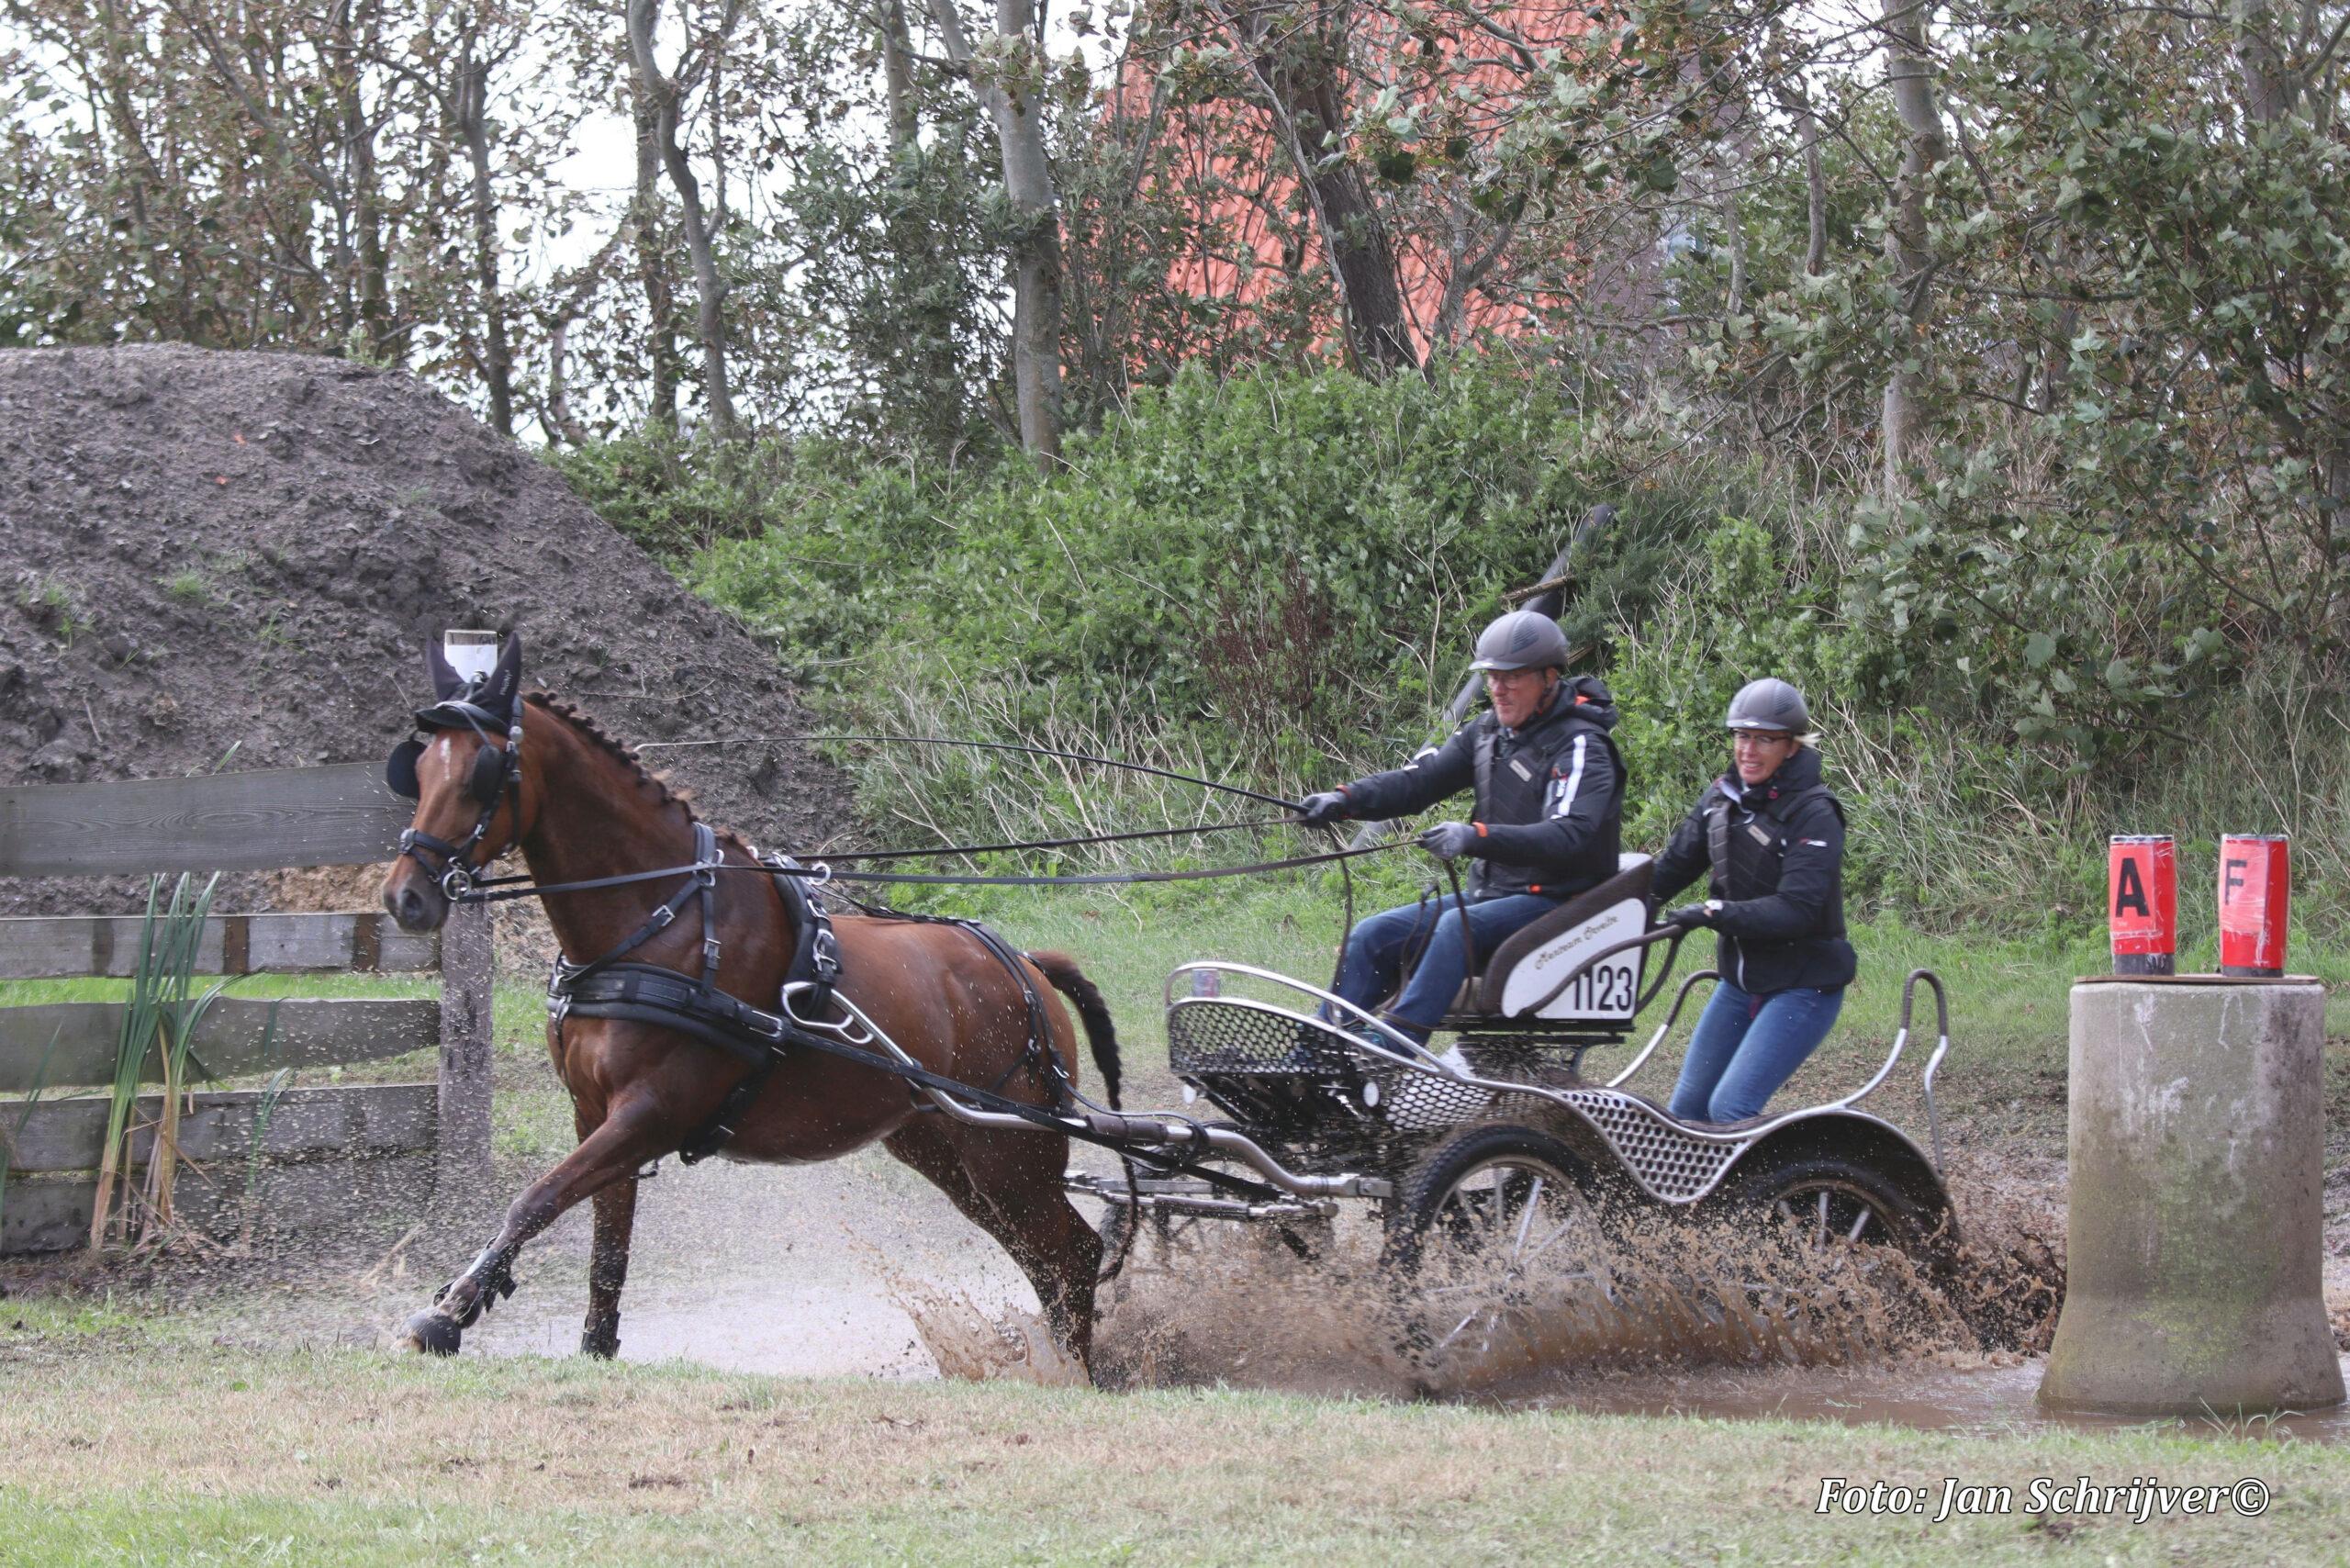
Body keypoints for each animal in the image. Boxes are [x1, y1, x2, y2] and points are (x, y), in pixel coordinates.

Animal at [379, 636, 1123, 1371]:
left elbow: (535, 1200)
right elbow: (606, 1250)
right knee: (1044, 1255)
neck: (662, 921)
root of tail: (1025, 967)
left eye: (480, 773)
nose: (403, 896)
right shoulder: (594, 1114)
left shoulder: (647, 1114)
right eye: (418, 770)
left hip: (1010, 1152)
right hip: (950, 1150)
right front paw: (590, 1346)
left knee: (1072, 1254)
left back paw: (1076, 1374)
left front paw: (450, 1311)